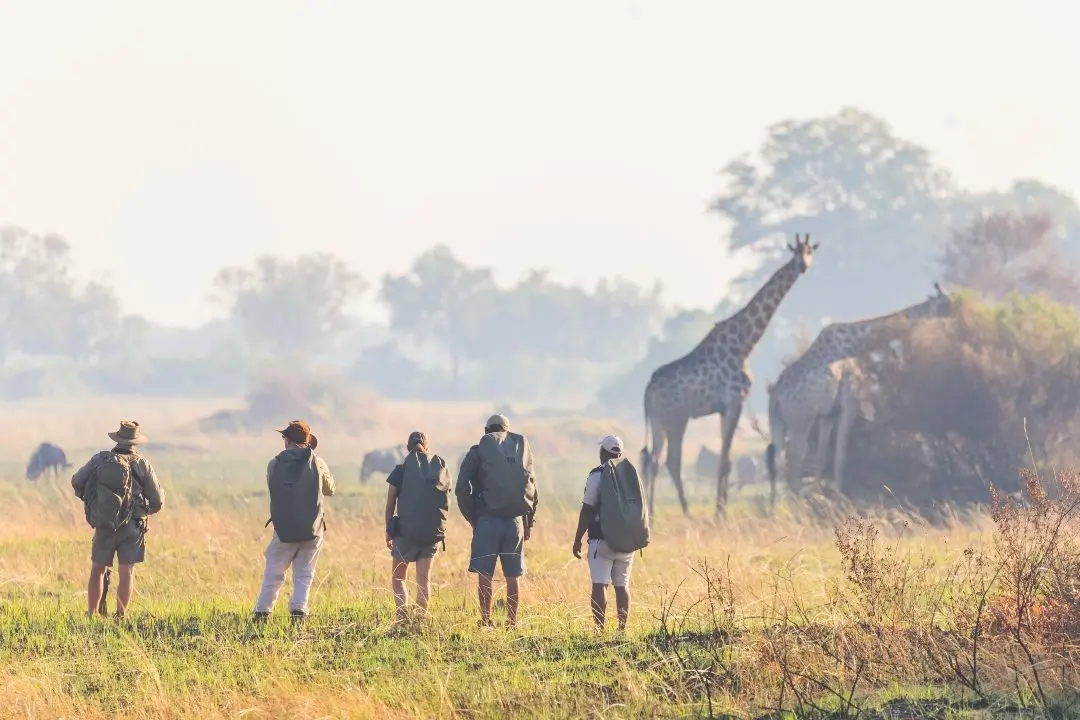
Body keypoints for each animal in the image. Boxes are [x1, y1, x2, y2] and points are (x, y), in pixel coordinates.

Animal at [641, 234, 819, 518]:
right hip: (676, 418)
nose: (803, 266)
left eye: (810, 251)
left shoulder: (724, 408)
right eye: (796, 253)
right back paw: (686, 514)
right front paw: (719, 515)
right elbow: (725, 460)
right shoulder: (736, 401)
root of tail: (647, 391)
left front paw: (720, 510)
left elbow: (726, 459)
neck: (745, 342)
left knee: (653, 461)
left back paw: (654, 515)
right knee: (670, 461)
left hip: (658, 420)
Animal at [764, 283, 954, 510]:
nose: (958, 311)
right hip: (801, 420)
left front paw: (821, 497)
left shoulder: (827, 414)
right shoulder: (849, 402)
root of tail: (775, 399)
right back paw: (795, 507)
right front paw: (837, 499)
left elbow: (822, 457)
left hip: (777, 423)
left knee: (777, 462)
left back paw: (775, 510)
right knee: (794, 462)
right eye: (946, 302)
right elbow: (840, 455)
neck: (854, 344)